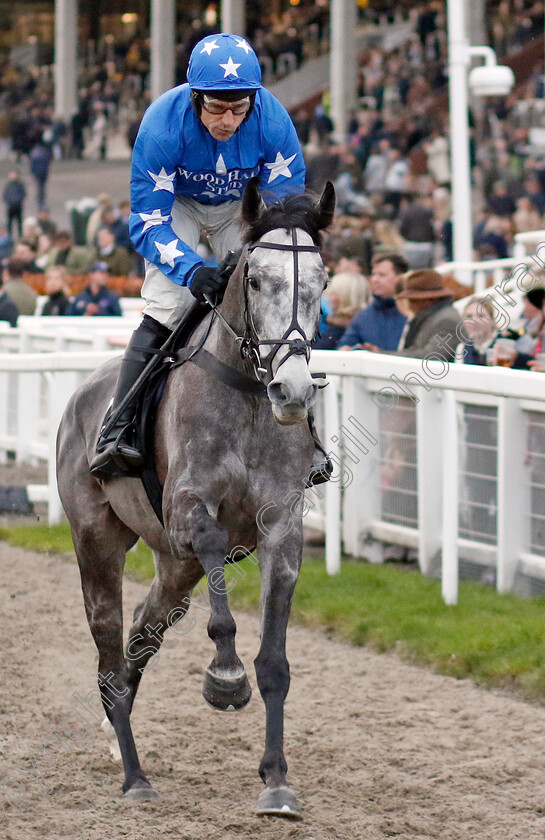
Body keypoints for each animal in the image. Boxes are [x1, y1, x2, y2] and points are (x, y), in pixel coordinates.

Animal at [57, 179, 334, 820]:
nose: (293, 390)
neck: (250, 396)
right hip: (97, 541)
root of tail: (81, 394)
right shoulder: (189, 514)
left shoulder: (282, 529)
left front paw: (276, 782)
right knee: (109, 645)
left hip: (174, 569)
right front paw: (225, 677)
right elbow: (215, 562)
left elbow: (275, 664)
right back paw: (133, 774)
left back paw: (118, 729)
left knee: (142, 632)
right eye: (254, 280)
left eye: (322, 283)